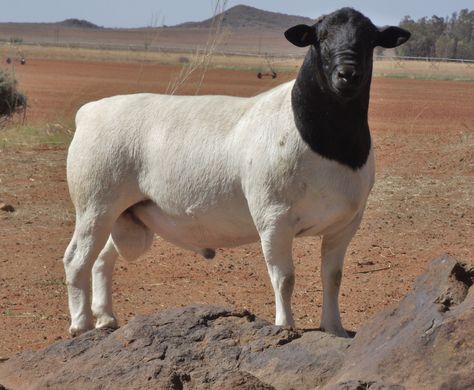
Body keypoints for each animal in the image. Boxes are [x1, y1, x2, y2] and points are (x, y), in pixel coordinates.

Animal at [64, 6, 412, 336]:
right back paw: (81, 324)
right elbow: (284, 278)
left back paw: (106, 318)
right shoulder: (274, 219)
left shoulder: (345, 224)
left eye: (369, 39)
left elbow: (333, 277)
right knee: (77, 259)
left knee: (102, 259)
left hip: (127, 214)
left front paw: (334, 328)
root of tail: (89, 111)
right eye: (321, 37)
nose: (347, 74)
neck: (326, 141)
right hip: (96, 205)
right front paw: (285, 326)